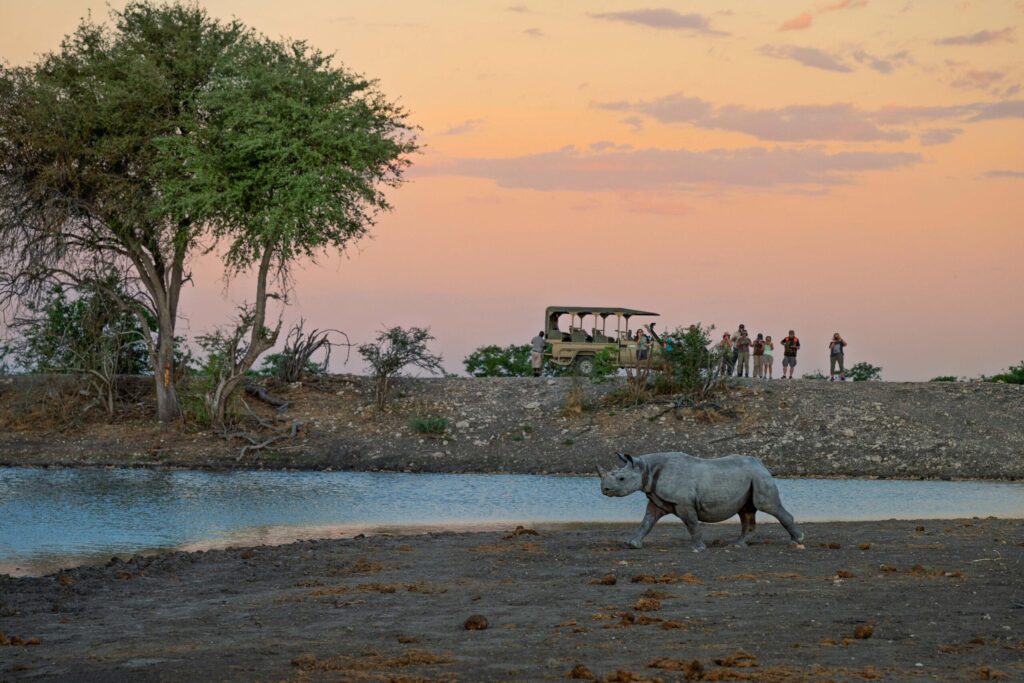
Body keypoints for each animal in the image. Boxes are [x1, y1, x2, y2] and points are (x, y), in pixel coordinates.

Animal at [598, 452, 804, 551]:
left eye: (621, 478)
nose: (604, 490)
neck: (646, 469)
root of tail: (762, 464)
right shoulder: (657, 499)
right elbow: (647, 521)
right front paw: (632, 544)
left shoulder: (683, 502)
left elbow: (691, 523)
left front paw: (697, 548)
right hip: (750, 478)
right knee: (746, 512)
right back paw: (737, 545)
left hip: (759, 478)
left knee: (767, 505)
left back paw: (797, 541)